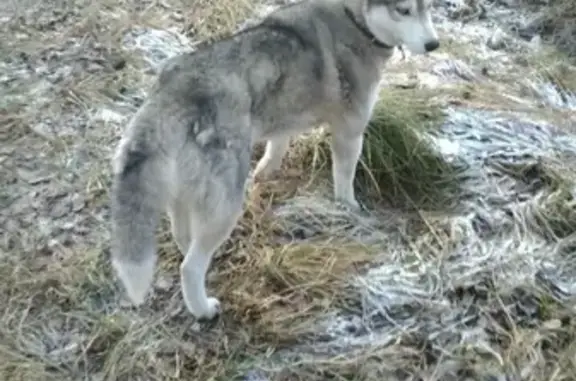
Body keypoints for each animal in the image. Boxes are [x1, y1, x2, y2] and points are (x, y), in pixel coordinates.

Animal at [110, 0, 438, 320]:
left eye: (428, 7)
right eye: (404, 11)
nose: (434, 44)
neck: (354, 19)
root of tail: (172, 93)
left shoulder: (285, 116)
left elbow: (277, 146)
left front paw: (265, 172)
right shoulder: (350, 130)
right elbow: (344, 177)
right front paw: (348, 208)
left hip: (185, 189)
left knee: (183, 235)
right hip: (224, 203)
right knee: (189, 266)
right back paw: (203, 309)